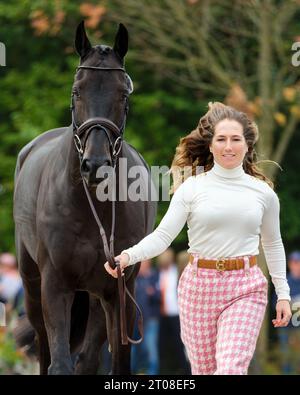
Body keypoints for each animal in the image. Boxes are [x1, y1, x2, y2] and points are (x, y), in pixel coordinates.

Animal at [12, 23, 156, 376]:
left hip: (95, 297)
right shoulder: (55, 286)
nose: (96, 165)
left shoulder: (120, 291)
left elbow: (116, 363)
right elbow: (59, 363)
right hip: (32, 287)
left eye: (123, 94)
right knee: (46, 348)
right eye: (77, 91)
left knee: (88, 358)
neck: (92, 209)